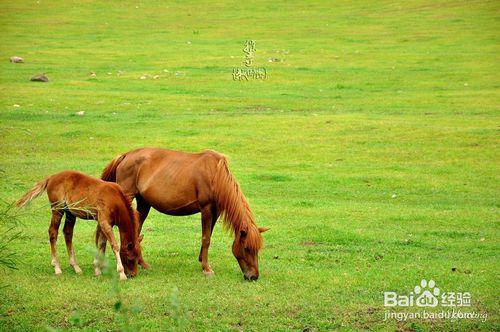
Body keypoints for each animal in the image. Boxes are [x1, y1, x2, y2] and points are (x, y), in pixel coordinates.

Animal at [101, 148, 270, 280]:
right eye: (247, 248)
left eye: (257, 249)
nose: (253, 276)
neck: (215, 174)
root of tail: (125, 155)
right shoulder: (206, 208)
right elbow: (206, 238)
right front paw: (207, 269)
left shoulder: (215, 211)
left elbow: (208, 236)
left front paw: (202, 261)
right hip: (127, 198)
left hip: (144, 203)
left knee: (136, 231)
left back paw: (142, 263)